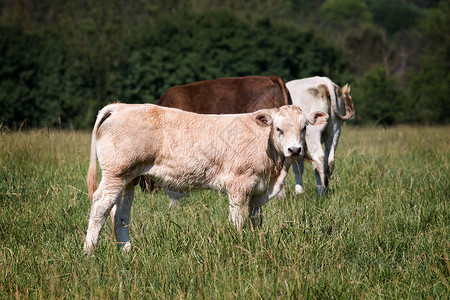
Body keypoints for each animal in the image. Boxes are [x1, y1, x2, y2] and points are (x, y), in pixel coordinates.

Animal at [83, 103, 326, 253]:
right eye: (278, 128)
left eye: (304, 128)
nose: (294, 150)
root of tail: (122, 106)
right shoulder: (239, 185)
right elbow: (238, 221)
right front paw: (238, 245)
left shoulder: (258, 190)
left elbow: (255, 220)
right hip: (116, 173)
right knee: (100, 207)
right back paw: (89, 252)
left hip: (129, 179)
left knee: (120, 215)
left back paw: (127, 251)